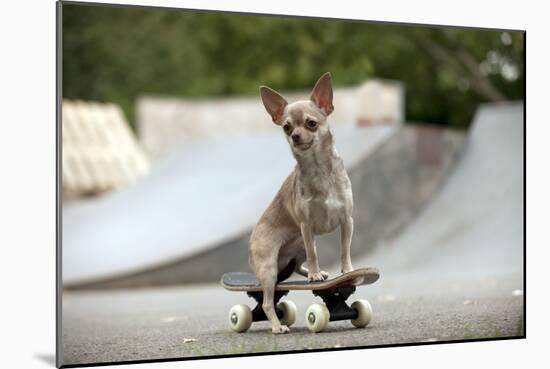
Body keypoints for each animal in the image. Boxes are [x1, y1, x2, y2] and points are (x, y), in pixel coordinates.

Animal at [249, 72, 356, 334]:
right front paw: (315, 275)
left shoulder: (346, 221)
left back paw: (314, 273)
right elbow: (314, 254)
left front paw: (347, 271)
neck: (319, 169)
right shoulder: (307, 226)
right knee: (267, 302)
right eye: (287, 127)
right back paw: (278, 326)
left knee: (298, 263)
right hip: (270, 267)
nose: (295, 136)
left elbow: (344, 249)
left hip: (296, 244)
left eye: (311, 123)